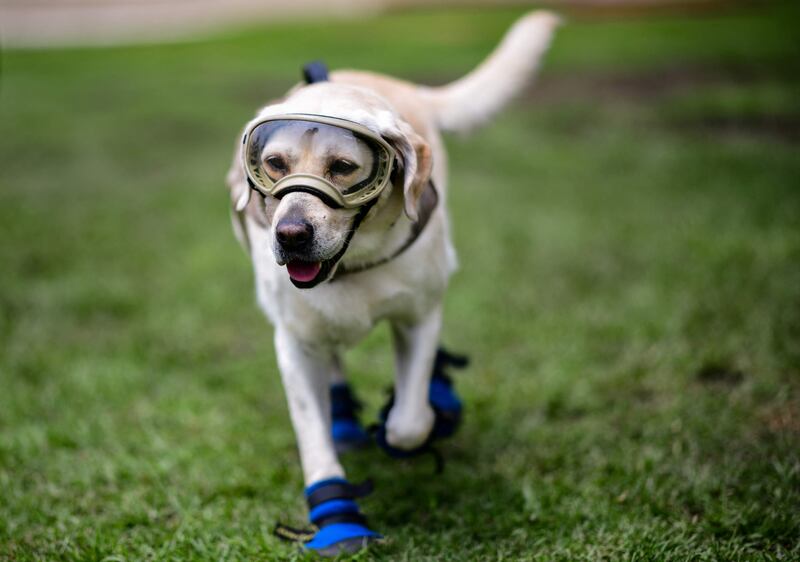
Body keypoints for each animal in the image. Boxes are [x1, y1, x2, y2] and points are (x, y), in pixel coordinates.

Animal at [228, 10, 560, 552]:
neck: (352, 264)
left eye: (344, 168)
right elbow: (313, 439)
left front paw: (403, 430)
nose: (291, 234)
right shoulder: (294, 343)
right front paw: (337, 518)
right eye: (274, 164)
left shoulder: (419, 317)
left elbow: (408, 420)